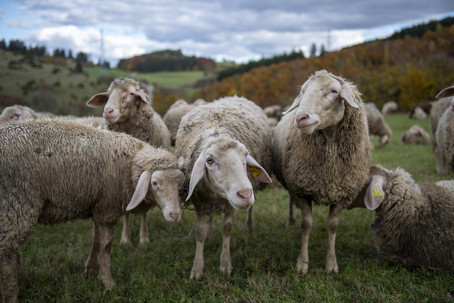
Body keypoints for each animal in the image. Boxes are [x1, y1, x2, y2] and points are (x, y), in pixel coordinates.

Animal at [0, 120, 184, 302]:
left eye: (179, 184)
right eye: (154, 183)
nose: (175, 215)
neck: (129, 165)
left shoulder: (99, 205)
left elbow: (96, 238)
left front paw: (90, 268)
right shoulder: (107, 208)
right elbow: (107, 245)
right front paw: (107, 282)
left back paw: (24, 281)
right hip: (16, 203)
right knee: (8, 251)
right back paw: (14, 291)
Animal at [86, 78, 171, 247]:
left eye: (132, 93)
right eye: (108, 95)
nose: (108, 111)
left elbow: (144, 211)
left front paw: (144, 238)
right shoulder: (122, 180)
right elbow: (125, 211)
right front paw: (125, 238)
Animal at [176, 96, 272, 282]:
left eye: (246, 155)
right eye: (210, 160)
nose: (245, 195)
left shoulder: (229, 205)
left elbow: (227, 229)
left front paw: (225, 265)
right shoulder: (200, 201)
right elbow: (199, 231)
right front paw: (197, 269)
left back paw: (249, 225)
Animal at [272, 70, 370, 276]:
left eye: (334, 91)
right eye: (302, 91)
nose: (300, 118)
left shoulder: (343, 194)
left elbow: (332, 226)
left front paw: (331, 264)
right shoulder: (302, 190)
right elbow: (306, 224)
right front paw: (302, 263)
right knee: (291, 201)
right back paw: (291, 220)